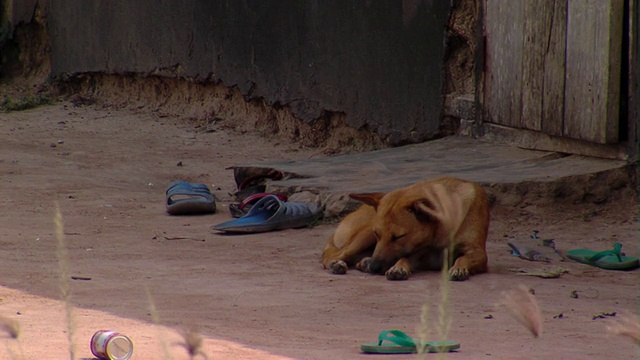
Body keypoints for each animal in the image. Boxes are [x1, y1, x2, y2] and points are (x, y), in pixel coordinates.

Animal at [320, 177, 490, 282]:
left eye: (398, 237)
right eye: (377, 234)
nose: (375, 267)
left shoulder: (479, 253)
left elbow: (463, 258)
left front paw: (459, 268)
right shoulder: (421, 253)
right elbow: (404, 258)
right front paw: (398, 267)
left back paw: (365, 262)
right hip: (364, 235)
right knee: (332, 255)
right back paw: (338, 263)